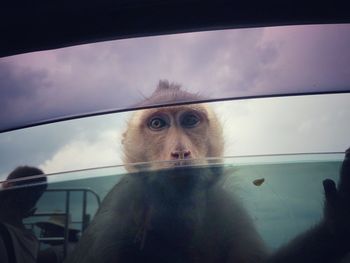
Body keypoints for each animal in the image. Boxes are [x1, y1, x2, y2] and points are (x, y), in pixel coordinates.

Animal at [65, 81, 350, 263]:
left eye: (190, 120)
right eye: (157, 124)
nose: (180, 152)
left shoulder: (226, 208)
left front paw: (336, 225)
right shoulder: (114, 220)